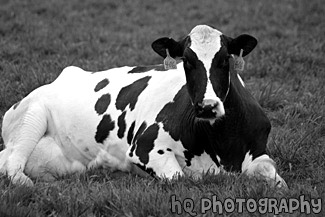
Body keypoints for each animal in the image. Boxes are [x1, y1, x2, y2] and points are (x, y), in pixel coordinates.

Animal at [0, 24, 284, 187]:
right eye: (187, 61)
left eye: (225, 59)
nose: (207, 106)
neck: (221, 145)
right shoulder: (145, 148)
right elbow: (180, 178)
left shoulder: (259, 151)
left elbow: (276, 178)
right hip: (31, 116)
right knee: (13, 167)